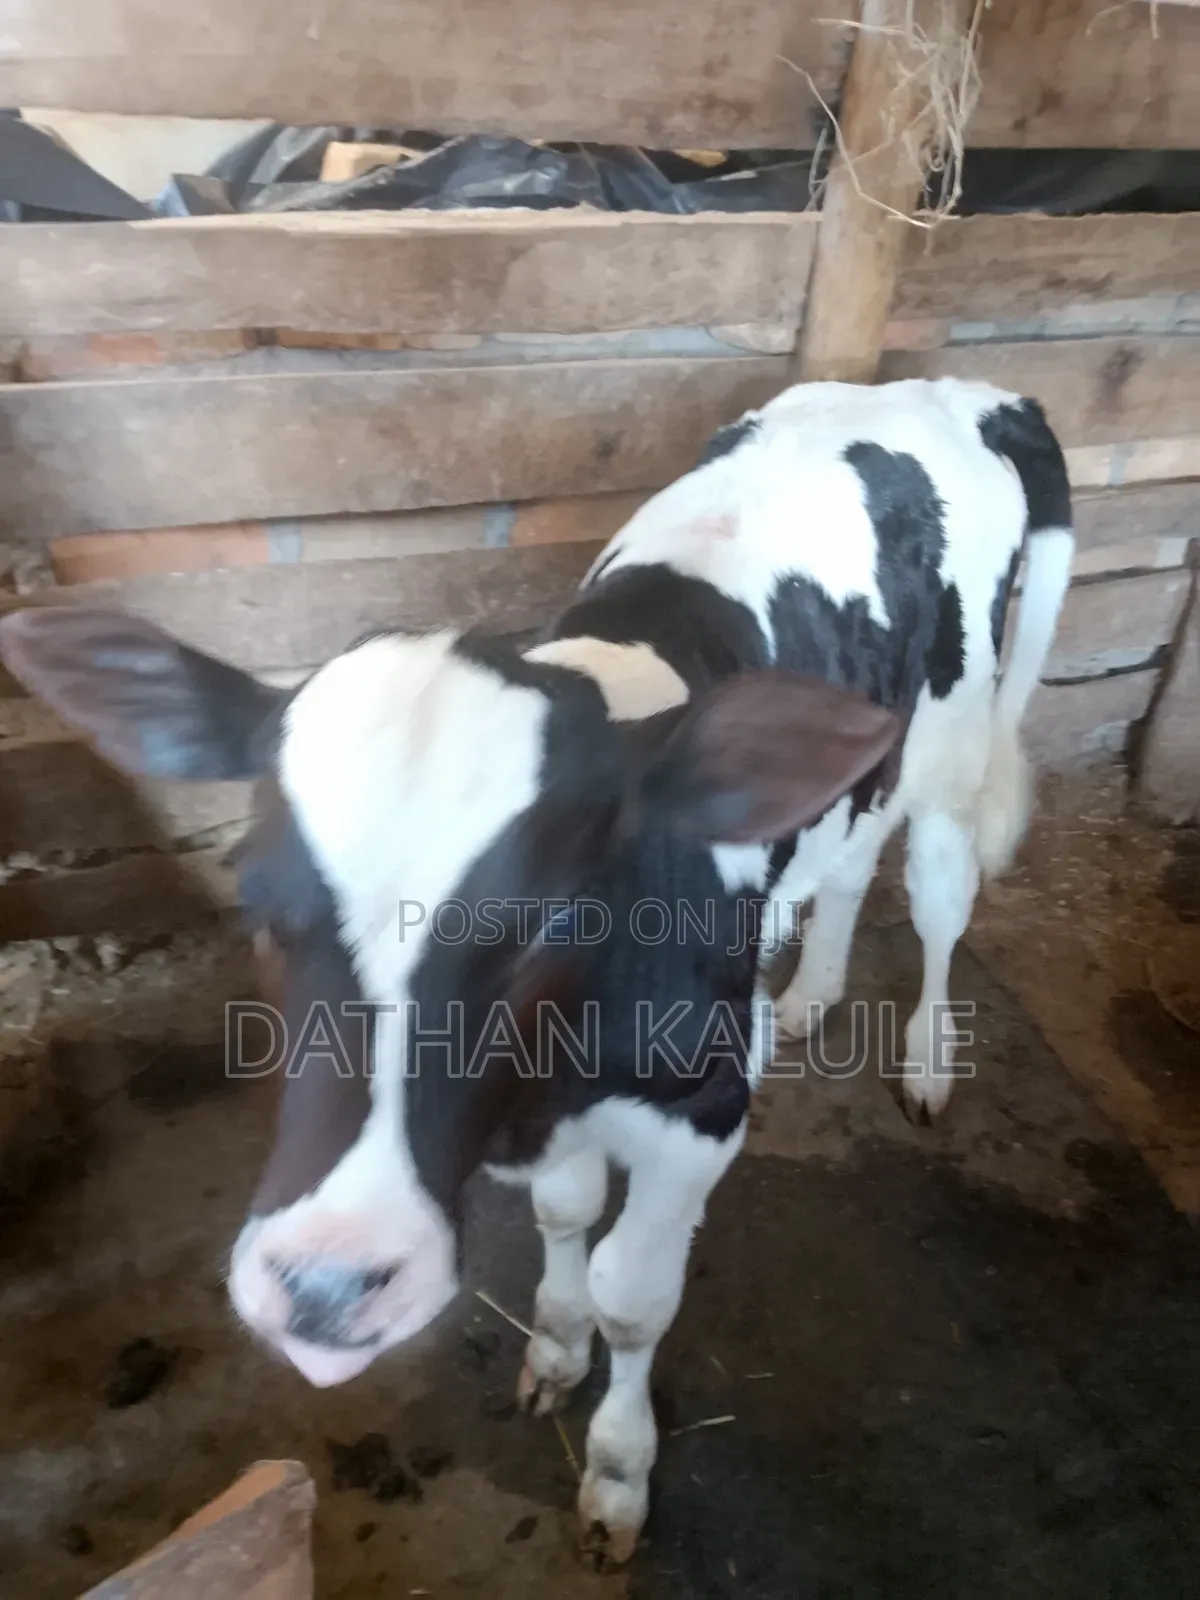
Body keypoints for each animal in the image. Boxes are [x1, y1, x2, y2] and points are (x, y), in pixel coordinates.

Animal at [0, 376, 1074, 1562]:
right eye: (256, 897)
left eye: (552, 918)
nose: (327, 1282)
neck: (551, 1083)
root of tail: (946, 392)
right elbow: (566, 1219)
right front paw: (555, 1349)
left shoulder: (702, 1107)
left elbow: (632, 1294)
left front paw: (617, 1468)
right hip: (867, 765)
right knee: (847, 861)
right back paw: (808, 995)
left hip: (956, 744)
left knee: (938, 891)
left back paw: (927, 1060)